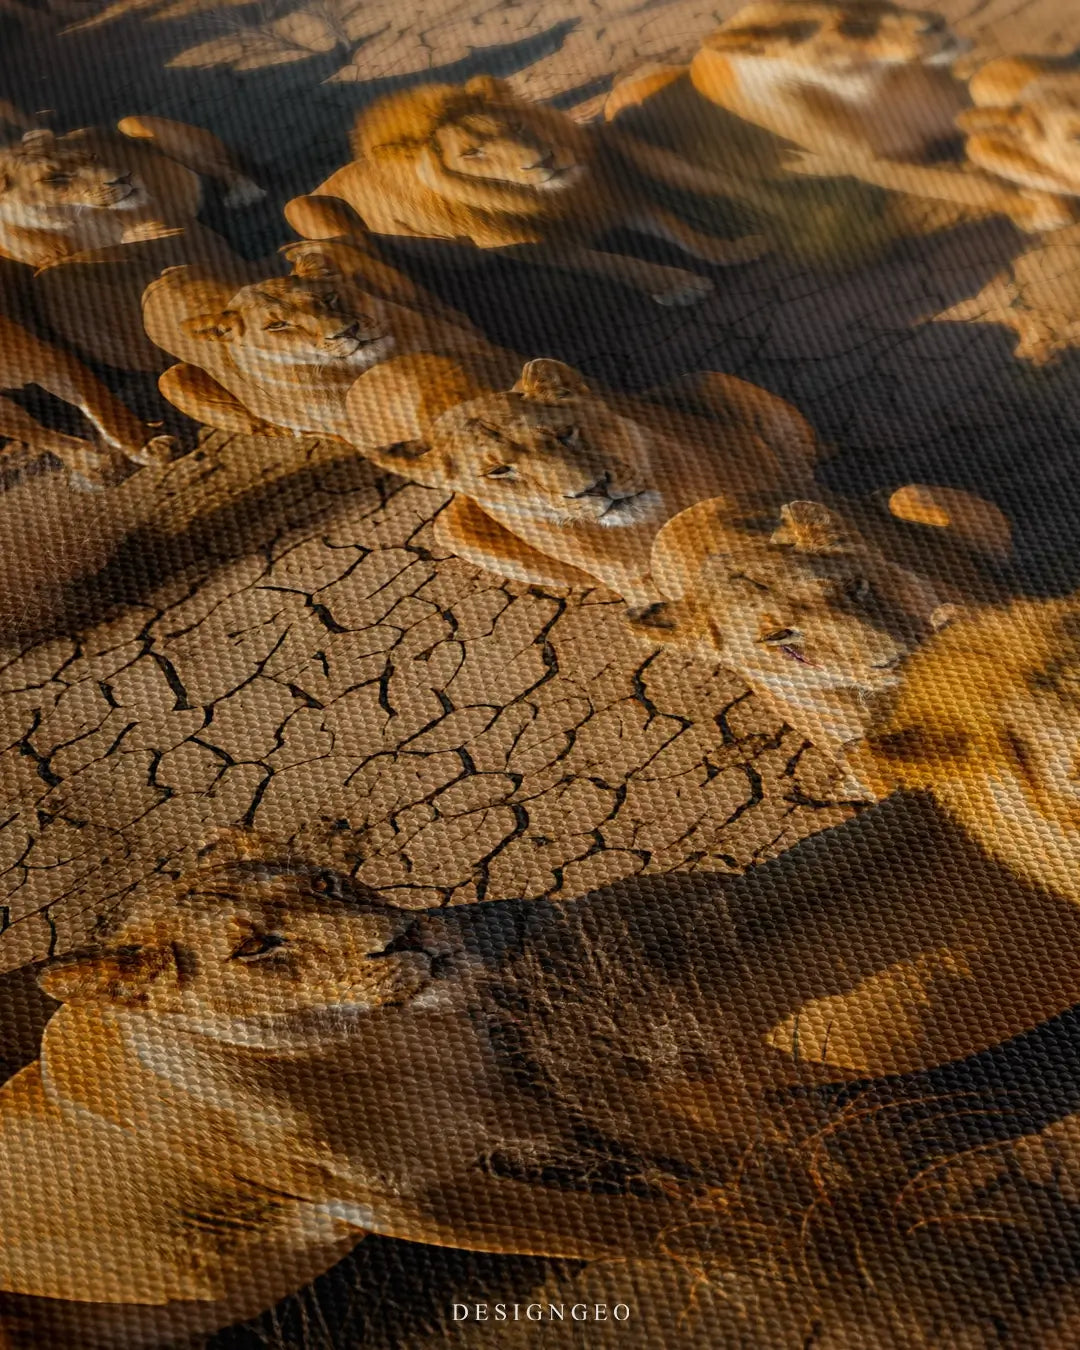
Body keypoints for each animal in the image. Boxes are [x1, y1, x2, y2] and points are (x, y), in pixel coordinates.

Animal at [0, 116, 262, 271]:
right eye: (53, 179)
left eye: (92, 155)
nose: (126, 177)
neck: (78, 223)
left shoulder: (183, 226)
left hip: (130, 122)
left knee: (227, 166)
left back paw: (244, 195)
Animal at [285, 76, 769, 309]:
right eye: (472, 153)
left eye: (516, 126)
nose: (544, 161)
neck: (553, 195)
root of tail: (322, 181)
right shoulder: (539, 248)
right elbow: (616, 263)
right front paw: (678, 285)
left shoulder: (611, 198)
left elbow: (682, 229)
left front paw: (733, 250)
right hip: (304, 207)